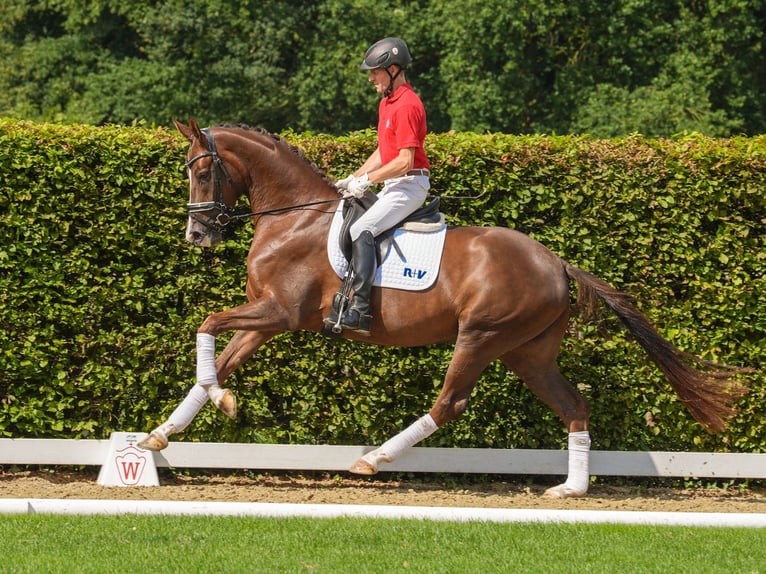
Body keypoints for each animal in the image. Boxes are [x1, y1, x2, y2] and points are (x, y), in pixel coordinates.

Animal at [140, 120, 752, 500]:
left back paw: (373, 459)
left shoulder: (279, 312)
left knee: (449, 402)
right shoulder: (266, 315)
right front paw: (164, 433)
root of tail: (557, 264)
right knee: (573, 405)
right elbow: (220, 359)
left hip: (481, 336)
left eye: (201, 171)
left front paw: (218, 403)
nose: (197, 236)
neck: (294, 217)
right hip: (527, 352)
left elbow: (207, 325)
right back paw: (570, 488)